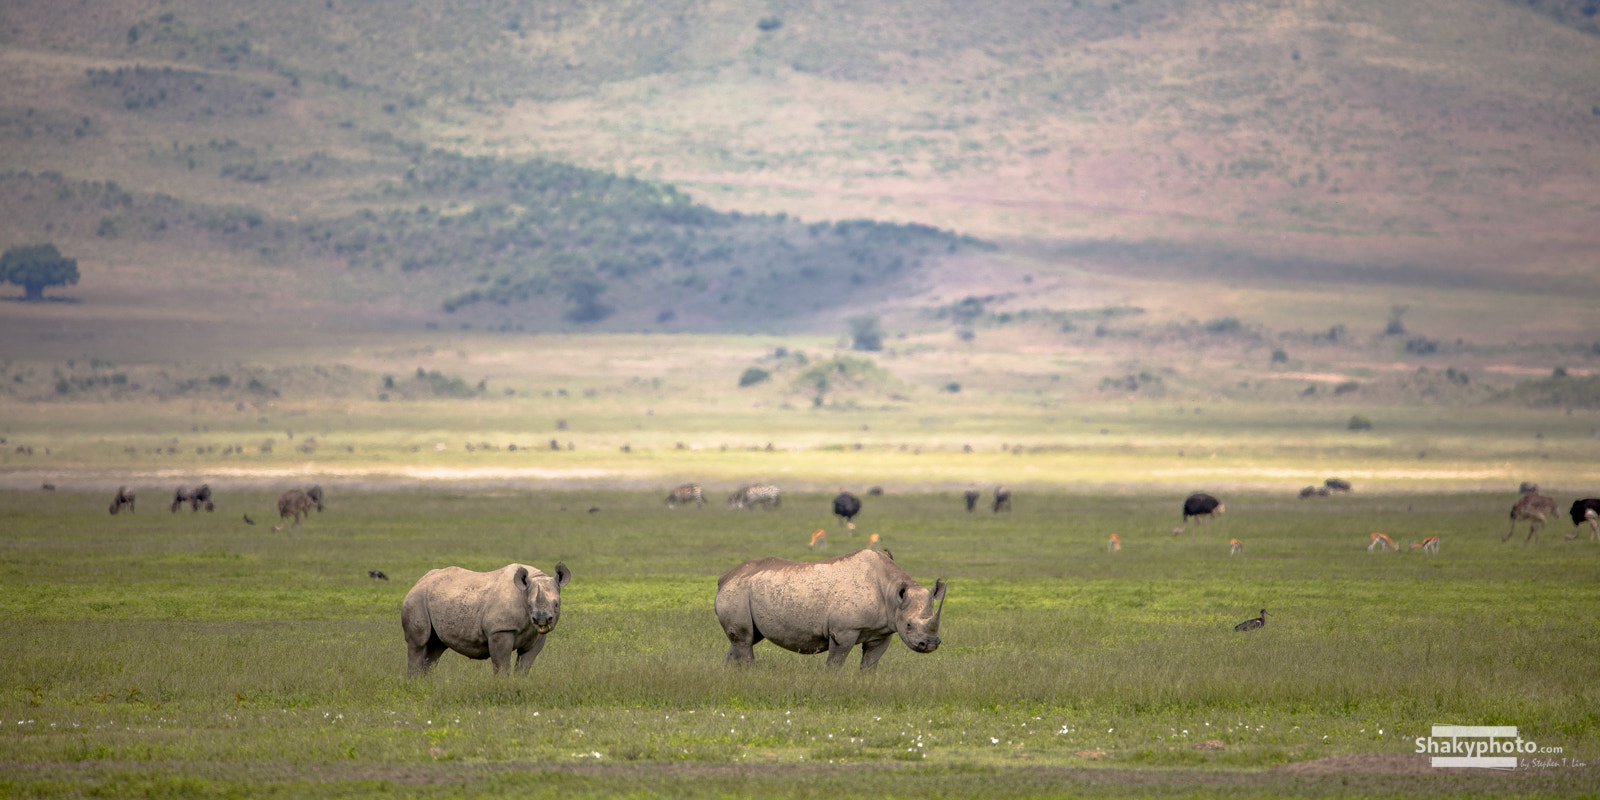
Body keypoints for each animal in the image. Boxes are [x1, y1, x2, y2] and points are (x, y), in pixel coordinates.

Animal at [400, 562, 571, 677]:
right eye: (529, 605)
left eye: (556, 604)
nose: (542, 619)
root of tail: (419, 581)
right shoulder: (500, 630)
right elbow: (502, 665)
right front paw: (503, 685)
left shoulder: (537, 635)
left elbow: (524, 666)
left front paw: (519, 683)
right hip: (416, 598)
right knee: (419, 643)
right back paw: (415, 683)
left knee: (436, 646)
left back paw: (426, 682)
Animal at [715, 549, 947, 670]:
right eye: (908, 625)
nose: (930, 644)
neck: (892, 592)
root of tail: (723, 579)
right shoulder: (844, 630)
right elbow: (836, 661)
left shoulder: (883, 631)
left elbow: (870, 663)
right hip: (737, 591)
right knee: (744, 638)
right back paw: (750, 672)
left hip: (744, 590)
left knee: (745, 638)